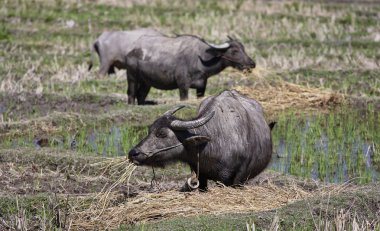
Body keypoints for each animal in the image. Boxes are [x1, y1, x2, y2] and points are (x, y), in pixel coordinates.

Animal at [127, 32, 255, 104]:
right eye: (234, 51)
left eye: (243, 49)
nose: (252, 64)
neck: (200, 59)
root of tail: (132, 51)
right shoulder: (183, 85)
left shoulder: (202, 86)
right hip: (132, 78)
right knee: (131, 94)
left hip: (146, 82)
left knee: (141, 95)